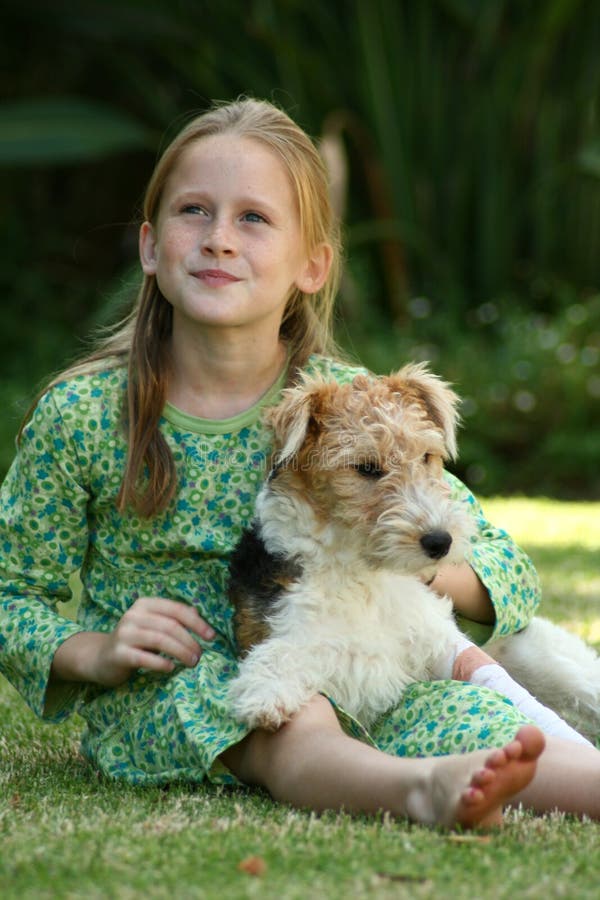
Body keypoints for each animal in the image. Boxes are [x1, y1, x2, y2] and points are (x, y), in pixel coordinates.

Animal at [226, 362, 600, 740]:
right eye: (366, 467)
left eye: (426, 456)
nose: (441, 541)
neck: (361, 574)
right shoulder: (317, 645)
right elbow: (283, 655)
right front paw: (264, 695)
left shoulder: (442, 642)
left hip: (553, 663)